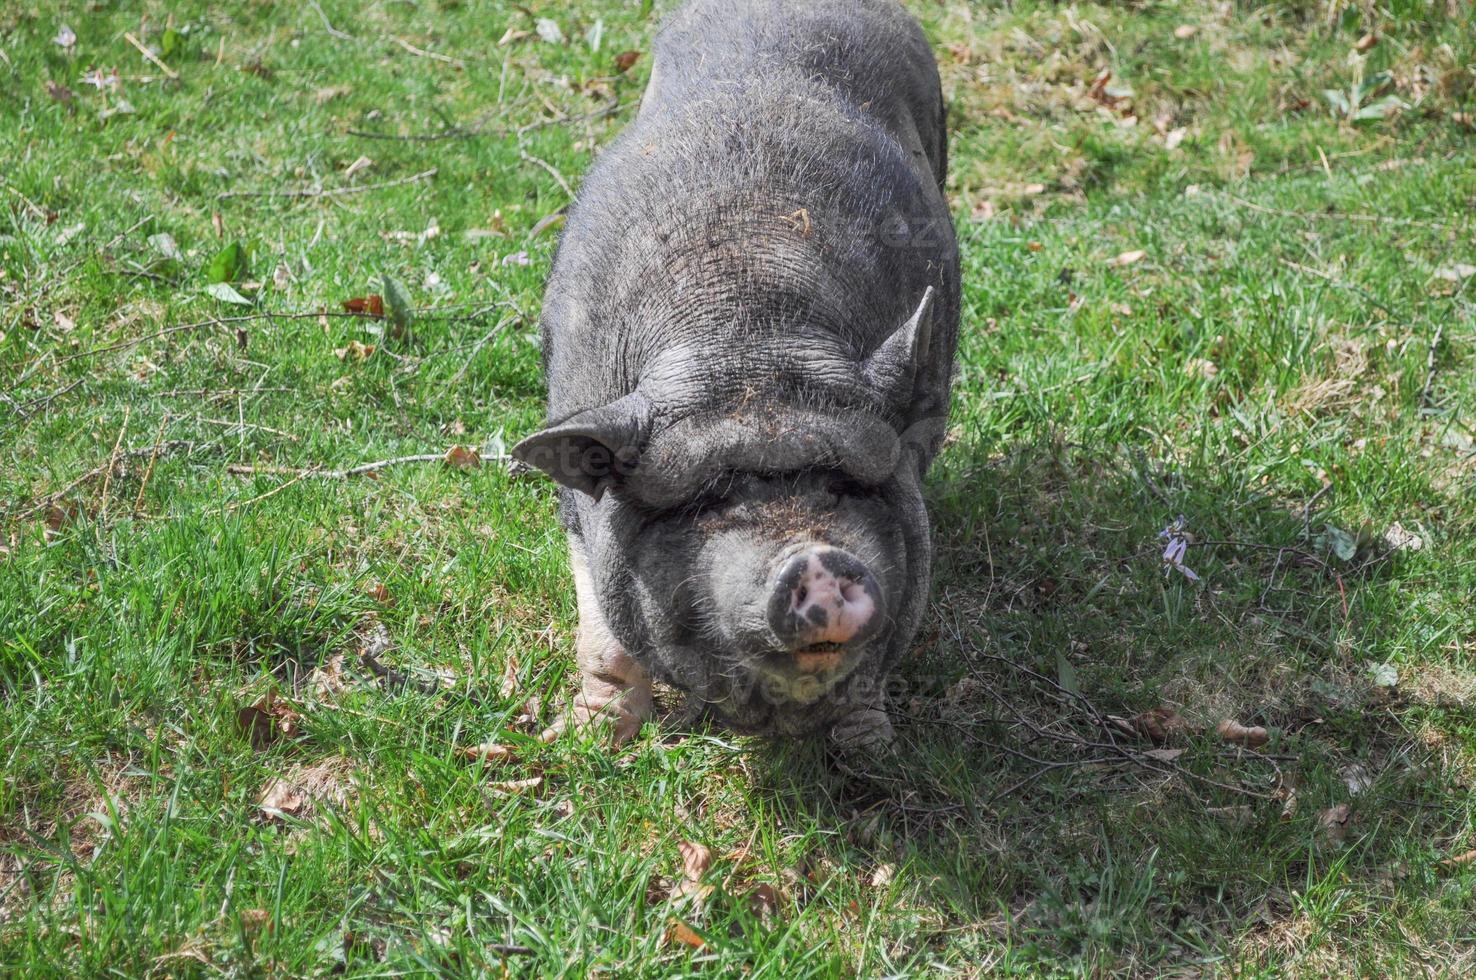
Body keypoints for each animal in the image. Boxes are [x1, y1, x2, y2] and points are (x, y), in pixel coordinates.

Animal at [513, 1, 962, 749]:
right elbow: (604, 637)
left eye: (842, 486)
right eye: (709, 503)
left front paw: (870, 752)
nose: (814, 559)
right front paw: (589, 743)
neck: (749, 336)